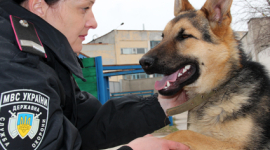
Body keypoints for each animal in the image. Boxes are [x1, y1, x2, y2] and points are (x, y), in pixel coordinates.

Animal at [140, 0, 270, 149]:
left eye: (184, 36)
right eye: (163, 37)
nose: (142, 62)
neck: (219, 86)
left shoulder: (236, 146)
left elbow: (183, 133)